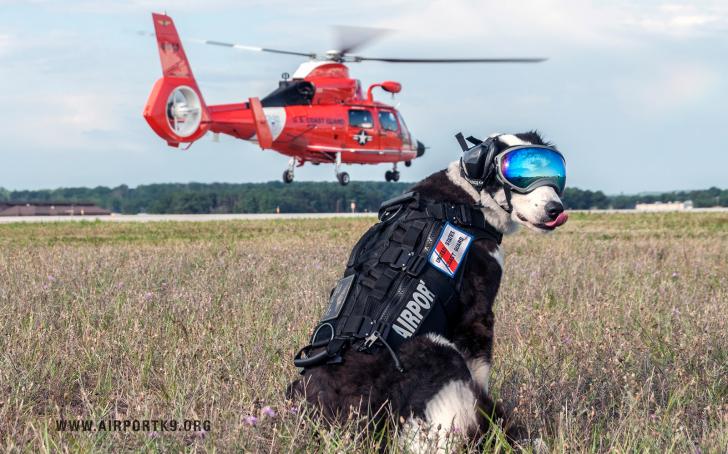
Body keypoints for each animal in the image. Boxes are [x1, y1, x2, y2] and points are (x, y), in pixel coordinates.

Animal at [290, 131, 568, 450]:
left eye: (555, 173)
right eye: (519, 175)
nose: (556, 210)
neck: (468, 200)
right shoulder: (476, 317)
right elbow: (481, 373)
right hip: (437, 352)